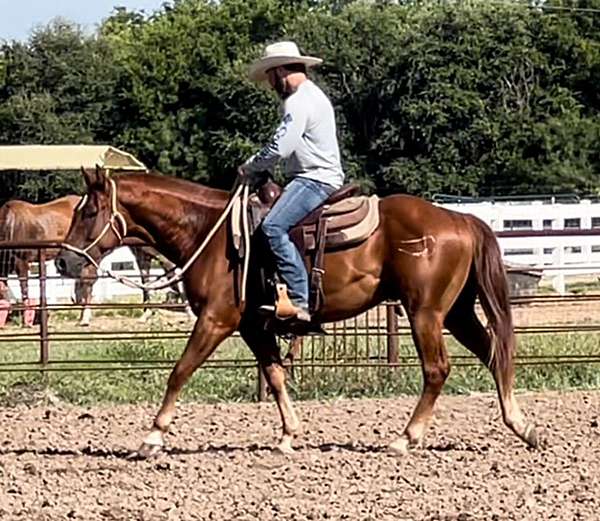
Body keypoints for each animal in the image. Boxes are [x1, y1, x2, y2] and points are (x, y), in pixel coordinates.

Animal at [55, 167, 540, 456]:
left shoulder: (217, 319)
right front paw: (289, 436)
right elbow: (274, 375)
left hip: (426, 313)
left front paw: (152, 436)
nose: (63, 263)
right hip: (455, 312)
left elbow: (180, 371)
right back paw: (522, 426)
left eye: (90, 210)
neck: (210, 233)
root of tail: (460, 220)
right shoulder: (254, 326)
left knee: (437, 369)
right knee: (494, 353)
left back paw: (406, 438)